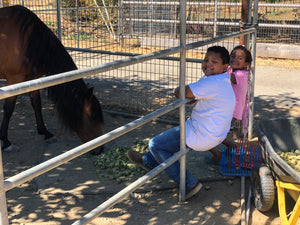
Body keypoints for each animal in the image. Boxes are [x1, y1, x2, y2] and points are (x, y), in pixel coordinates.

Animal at [0, 4, 104, 153]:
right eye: (92, 116)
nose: (100, 149)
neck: (28, 40)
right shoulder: (14, 80)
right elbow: (8, 109)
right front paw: (6, 141)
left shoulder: (33, 80)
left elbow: (37, 104)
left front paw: (45, 132)